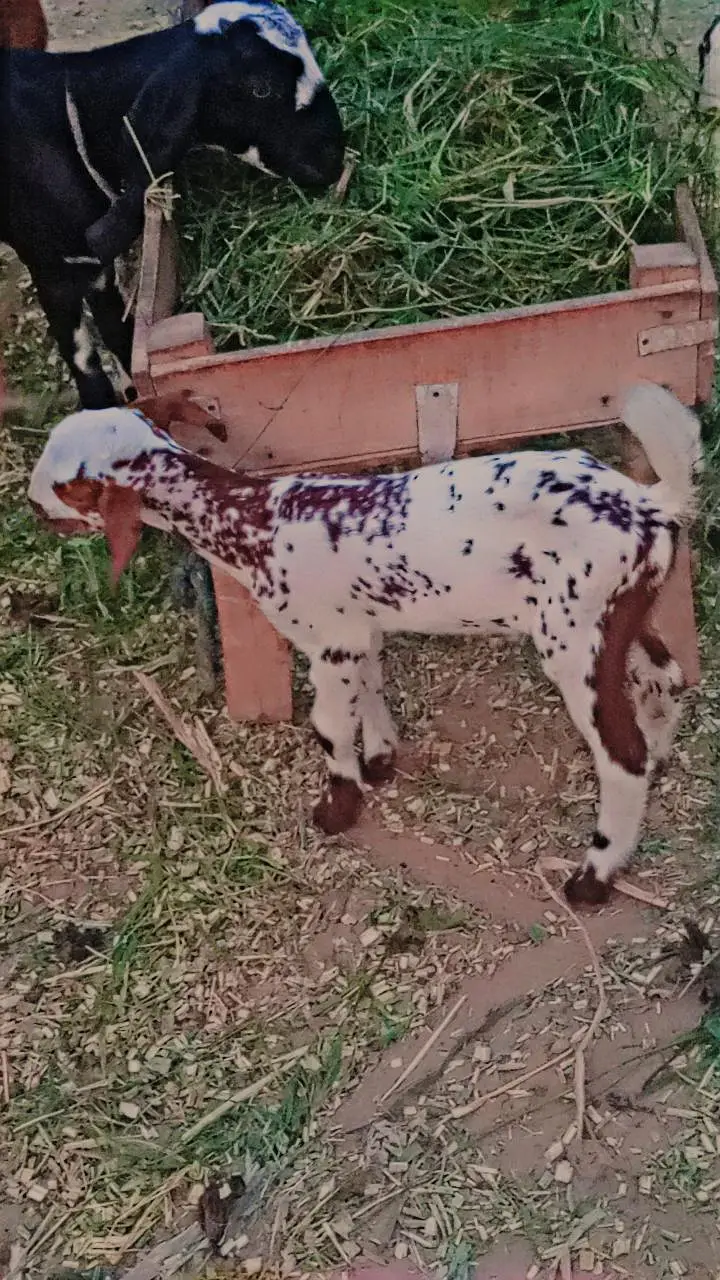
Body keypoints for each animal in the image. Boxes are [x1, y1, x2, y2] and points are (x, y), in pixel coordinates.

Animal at [0, 2, 345, 409]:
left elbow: (119, 329)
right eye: (261, 87)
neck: (74, 118)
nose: (334, 158)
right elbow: (86, 363)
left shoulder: (94, 267)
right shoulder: (51, 268)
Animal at [28, 382, 701, 906]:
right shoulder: (358, 629)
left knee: (620, 754)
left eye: (68, 488)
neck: (254, 522)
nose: (32, 507)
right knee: (664, 678)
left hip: (572, 637)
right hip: (617, 617)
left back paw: (594, 877)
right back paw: (657, 761)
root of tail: (648, 503)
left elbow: (329, 726)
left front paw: (338, 808)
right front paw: (380, 760)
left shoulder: (329, 640)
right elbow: (369, 690)